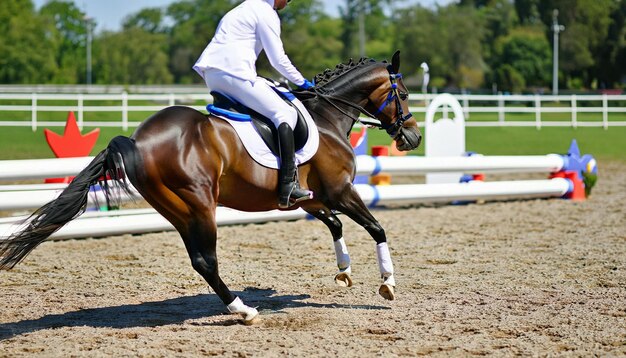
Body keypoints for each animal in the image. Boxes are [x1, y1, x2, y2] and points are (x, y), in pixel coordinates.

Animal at [1, 51, 420, 324]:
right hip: (200, 204)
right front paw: (387, 284)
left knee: (199, 260)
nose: (413, 138)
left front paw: (345, 270)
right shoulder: (340, 191)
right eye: (403, 95)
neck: (326, 116)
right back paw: (243, 310)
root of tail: (135, 140)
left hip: (177, 209)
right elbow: (376, 228)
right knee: (206, 260)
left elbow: (334, 224)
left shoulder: (310, 199)